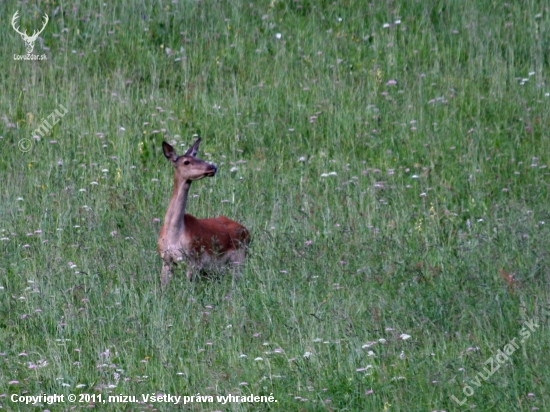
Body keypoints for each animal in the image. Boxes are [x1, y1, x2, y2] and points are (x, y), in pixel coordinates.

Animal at [158, 140, 251, 284]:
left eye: (198, 157)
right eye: (186, 161)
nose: (212, 167)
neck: (174, 235)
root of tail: (247, 232)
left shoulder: (194, 259)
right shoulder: (165, 260)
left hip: (239, 257)